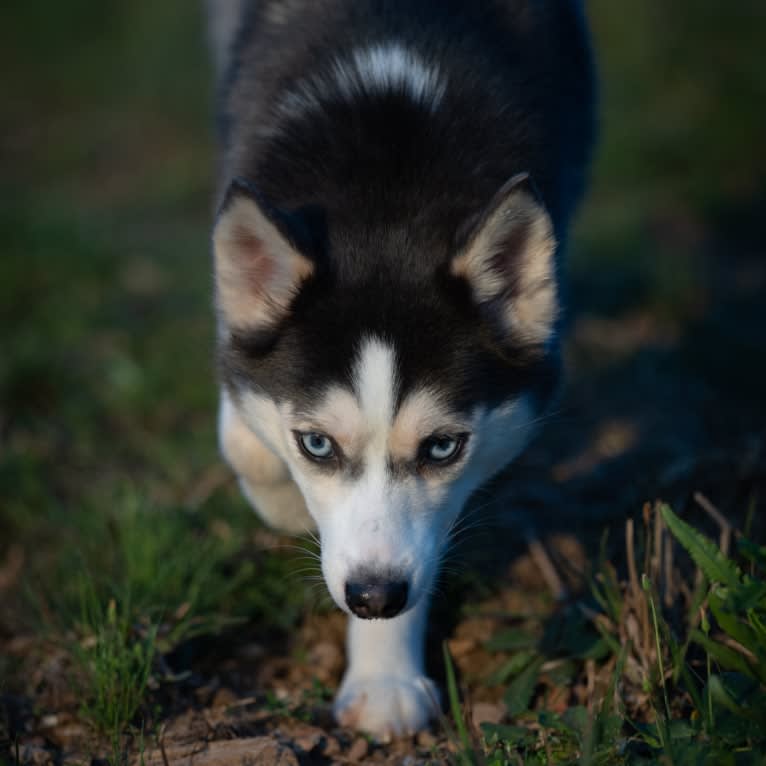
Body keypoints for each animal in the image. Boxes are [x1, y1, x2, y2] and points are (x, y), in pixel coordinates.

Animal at [210, 0, 600, 744]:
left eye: (443, 447)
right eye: (317, 443)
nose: (372, 596)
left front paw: (384, 677)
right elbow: (245, 433)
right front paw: (284, 502)